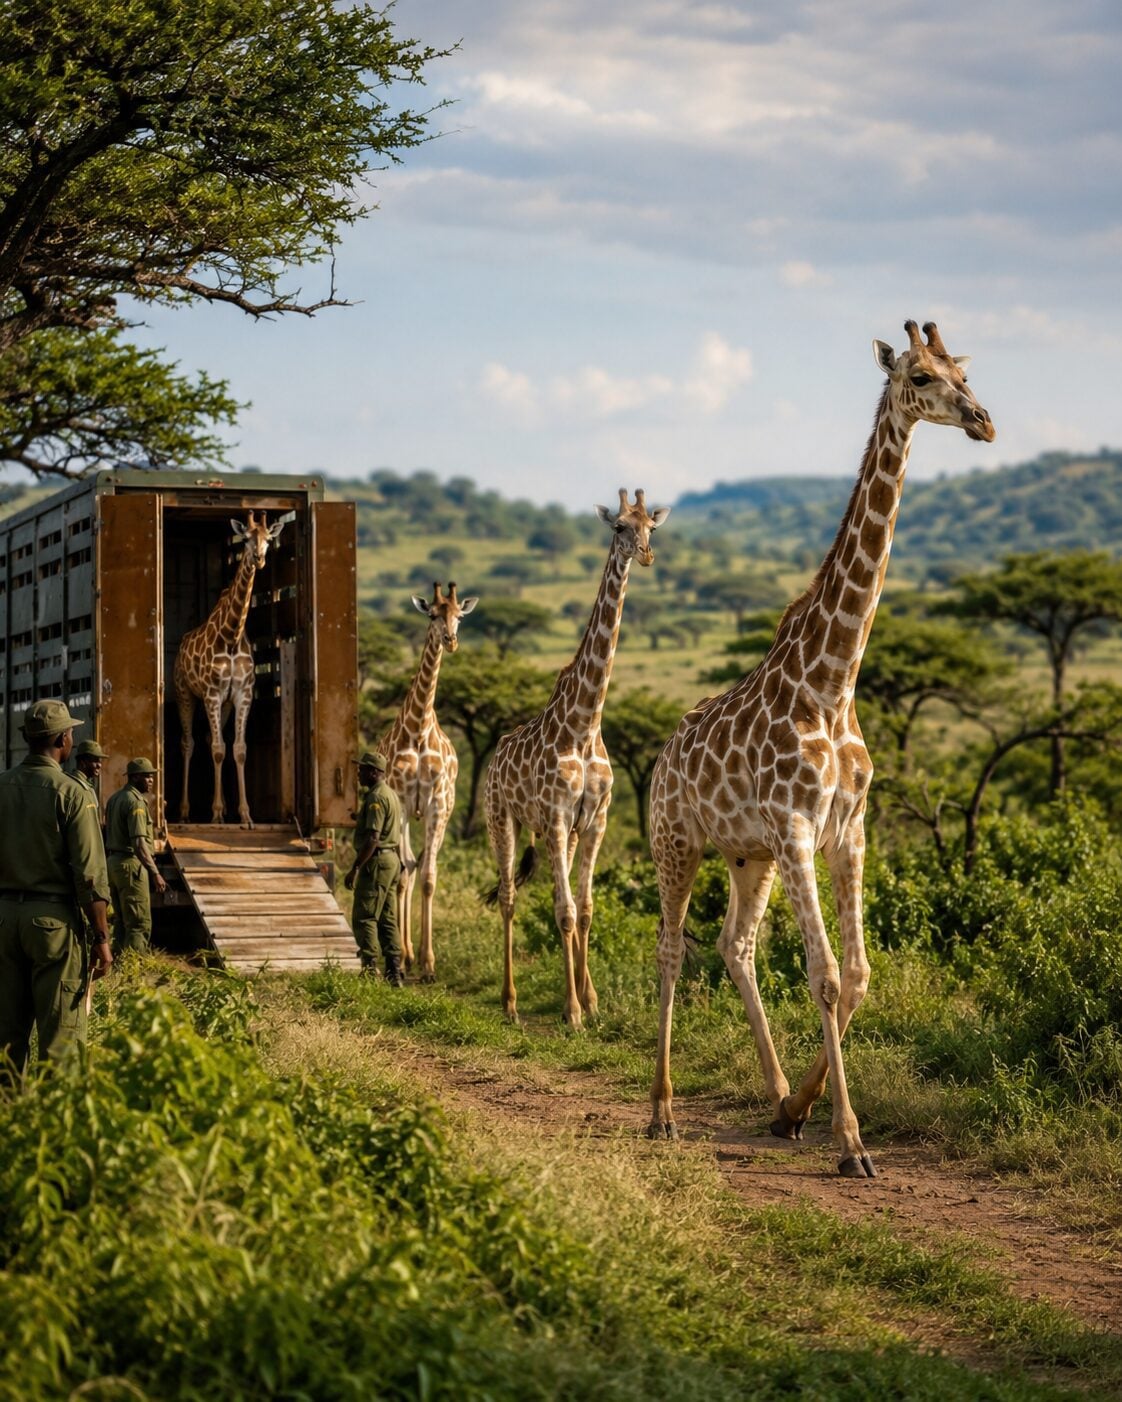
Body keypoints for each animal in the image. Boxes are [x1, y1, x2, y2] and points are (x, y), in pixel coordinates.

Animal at [173, 510, 292, 827]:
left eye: (268, 538)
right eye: (246, 538)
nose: (259, 558)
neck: (231, 636)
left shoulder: (240, 695)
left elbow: (237, 749)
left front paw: (245, 814)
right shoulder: (212, 694)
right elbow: (217, 750)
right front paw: (215, 814)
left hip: (222, 704)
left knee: (210, 739)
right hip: (186, 694)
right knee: (188, 742)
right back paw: (186, 811)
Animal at [484, 488, 670, 1028]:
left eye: (652, 527)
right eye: (619, 528)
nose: (645, 555)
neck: (585, 725)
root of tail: (495, 755)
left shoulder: (594, 818)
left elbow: (584, 909)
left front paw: (591, 1000)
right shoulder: (558, 812)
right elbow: (564, 911)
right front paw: (571, 1011)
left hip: (555, 831)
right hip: (501, 817)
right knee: (508, 896)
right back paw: (509, 1001)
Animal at [647, 322, 995, 1177]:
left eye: (965, 370)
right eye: (920, 376)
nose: (983, 421)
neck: (833, 684)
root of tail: (664, 754)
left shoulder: (846, 831)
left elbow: (861, 975)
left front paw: (804, 1111)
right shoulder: (800, 829)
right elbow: (827, 976)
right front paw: (851, 1141)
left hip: (748, 856)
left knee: (734, 946)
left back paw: (775, 1098)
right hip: (678, 840)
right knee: (670, 950)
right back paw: (662, 1113)